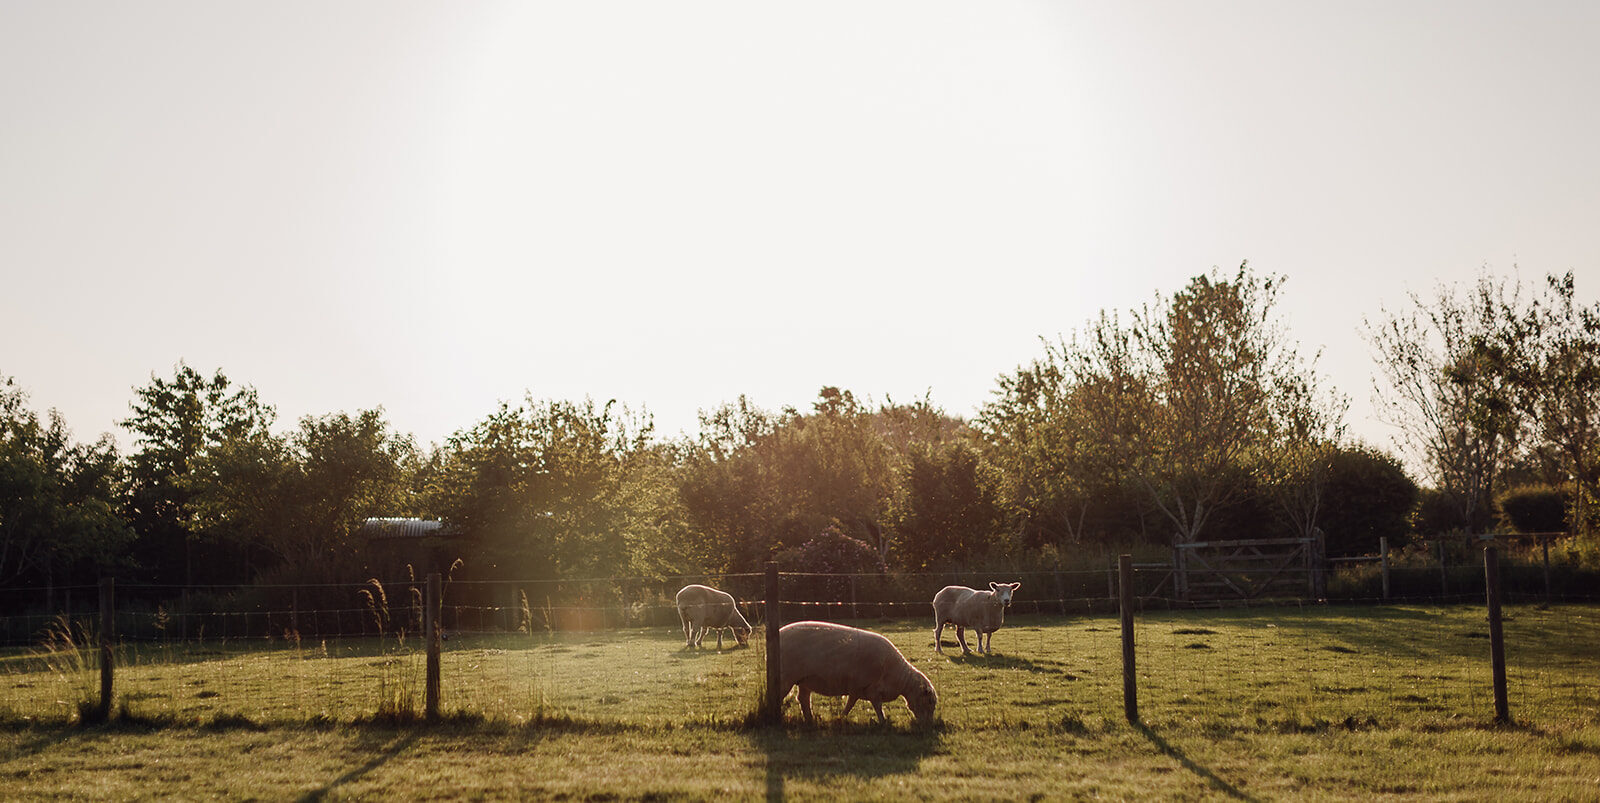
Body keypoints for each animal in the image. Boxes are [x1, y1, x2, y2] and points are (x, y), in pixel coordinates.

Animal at [777, 620, 937, 726]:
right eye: (929, 701)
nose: (928, 725)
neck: (899, 678)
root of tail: (780, 632)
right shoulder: (869, 688)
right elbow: (874, 706)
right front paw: (882, 721)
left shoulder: (859, 689)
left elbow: (851, 703)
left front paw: (841, 717)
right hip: (786, 677)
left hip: (804, 680)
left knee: (803, 699)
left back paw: (810, 719)